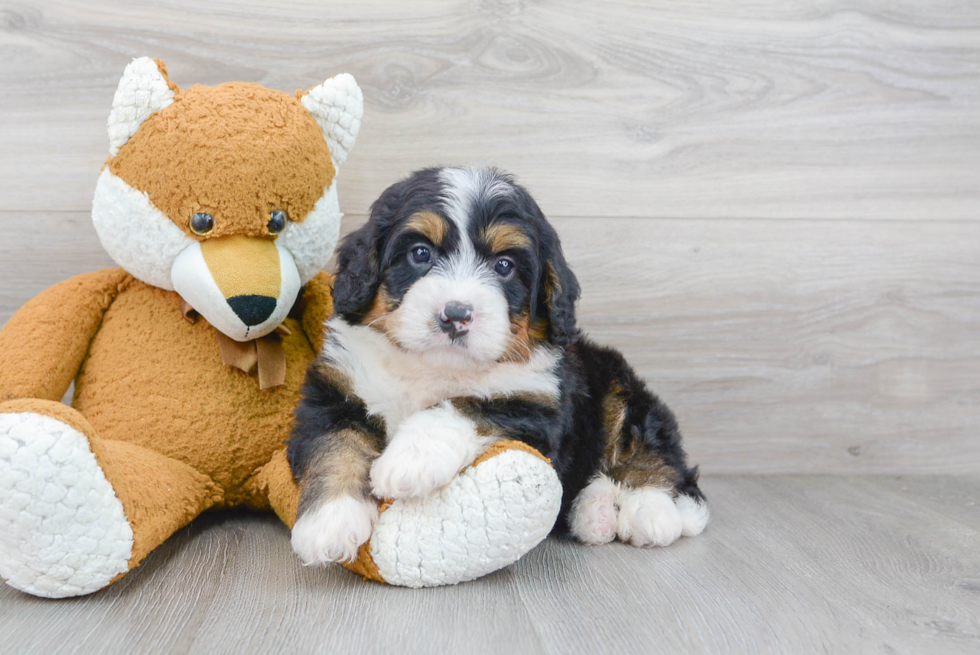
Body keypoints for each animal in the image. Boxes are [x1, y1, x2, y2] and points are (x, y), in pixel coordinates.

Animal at [288, 168, 708, 564]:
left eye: (504, 265)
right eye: (421, 254)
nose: (455, 315)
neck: (432, 368)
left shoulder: (536, 407)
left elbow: (467, 405)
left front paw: (410, 459)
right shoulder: (336, 390)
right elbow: (335, 445)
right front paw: (330, 521)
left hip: (617, 382)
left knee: (650, 449)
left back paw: (651, 511)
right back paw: (597, 512)